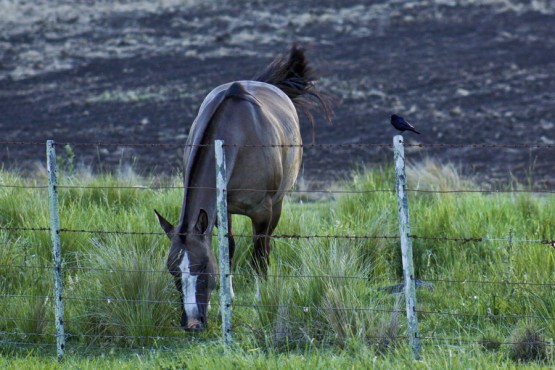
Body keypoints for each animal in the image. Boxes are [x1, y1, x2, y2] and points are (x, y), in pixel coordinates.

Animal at [154, 44, 332, 330]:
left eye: (202, 267)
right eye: (173, 270)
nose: (192, 323)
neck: (235, 137)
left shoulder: (262, 211)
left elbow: (258, 251)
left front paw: (260, 297)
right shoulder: (220, 210)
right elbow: (228, 248)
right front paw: (227, 297)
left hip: (277, 204)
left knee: (266, 242)